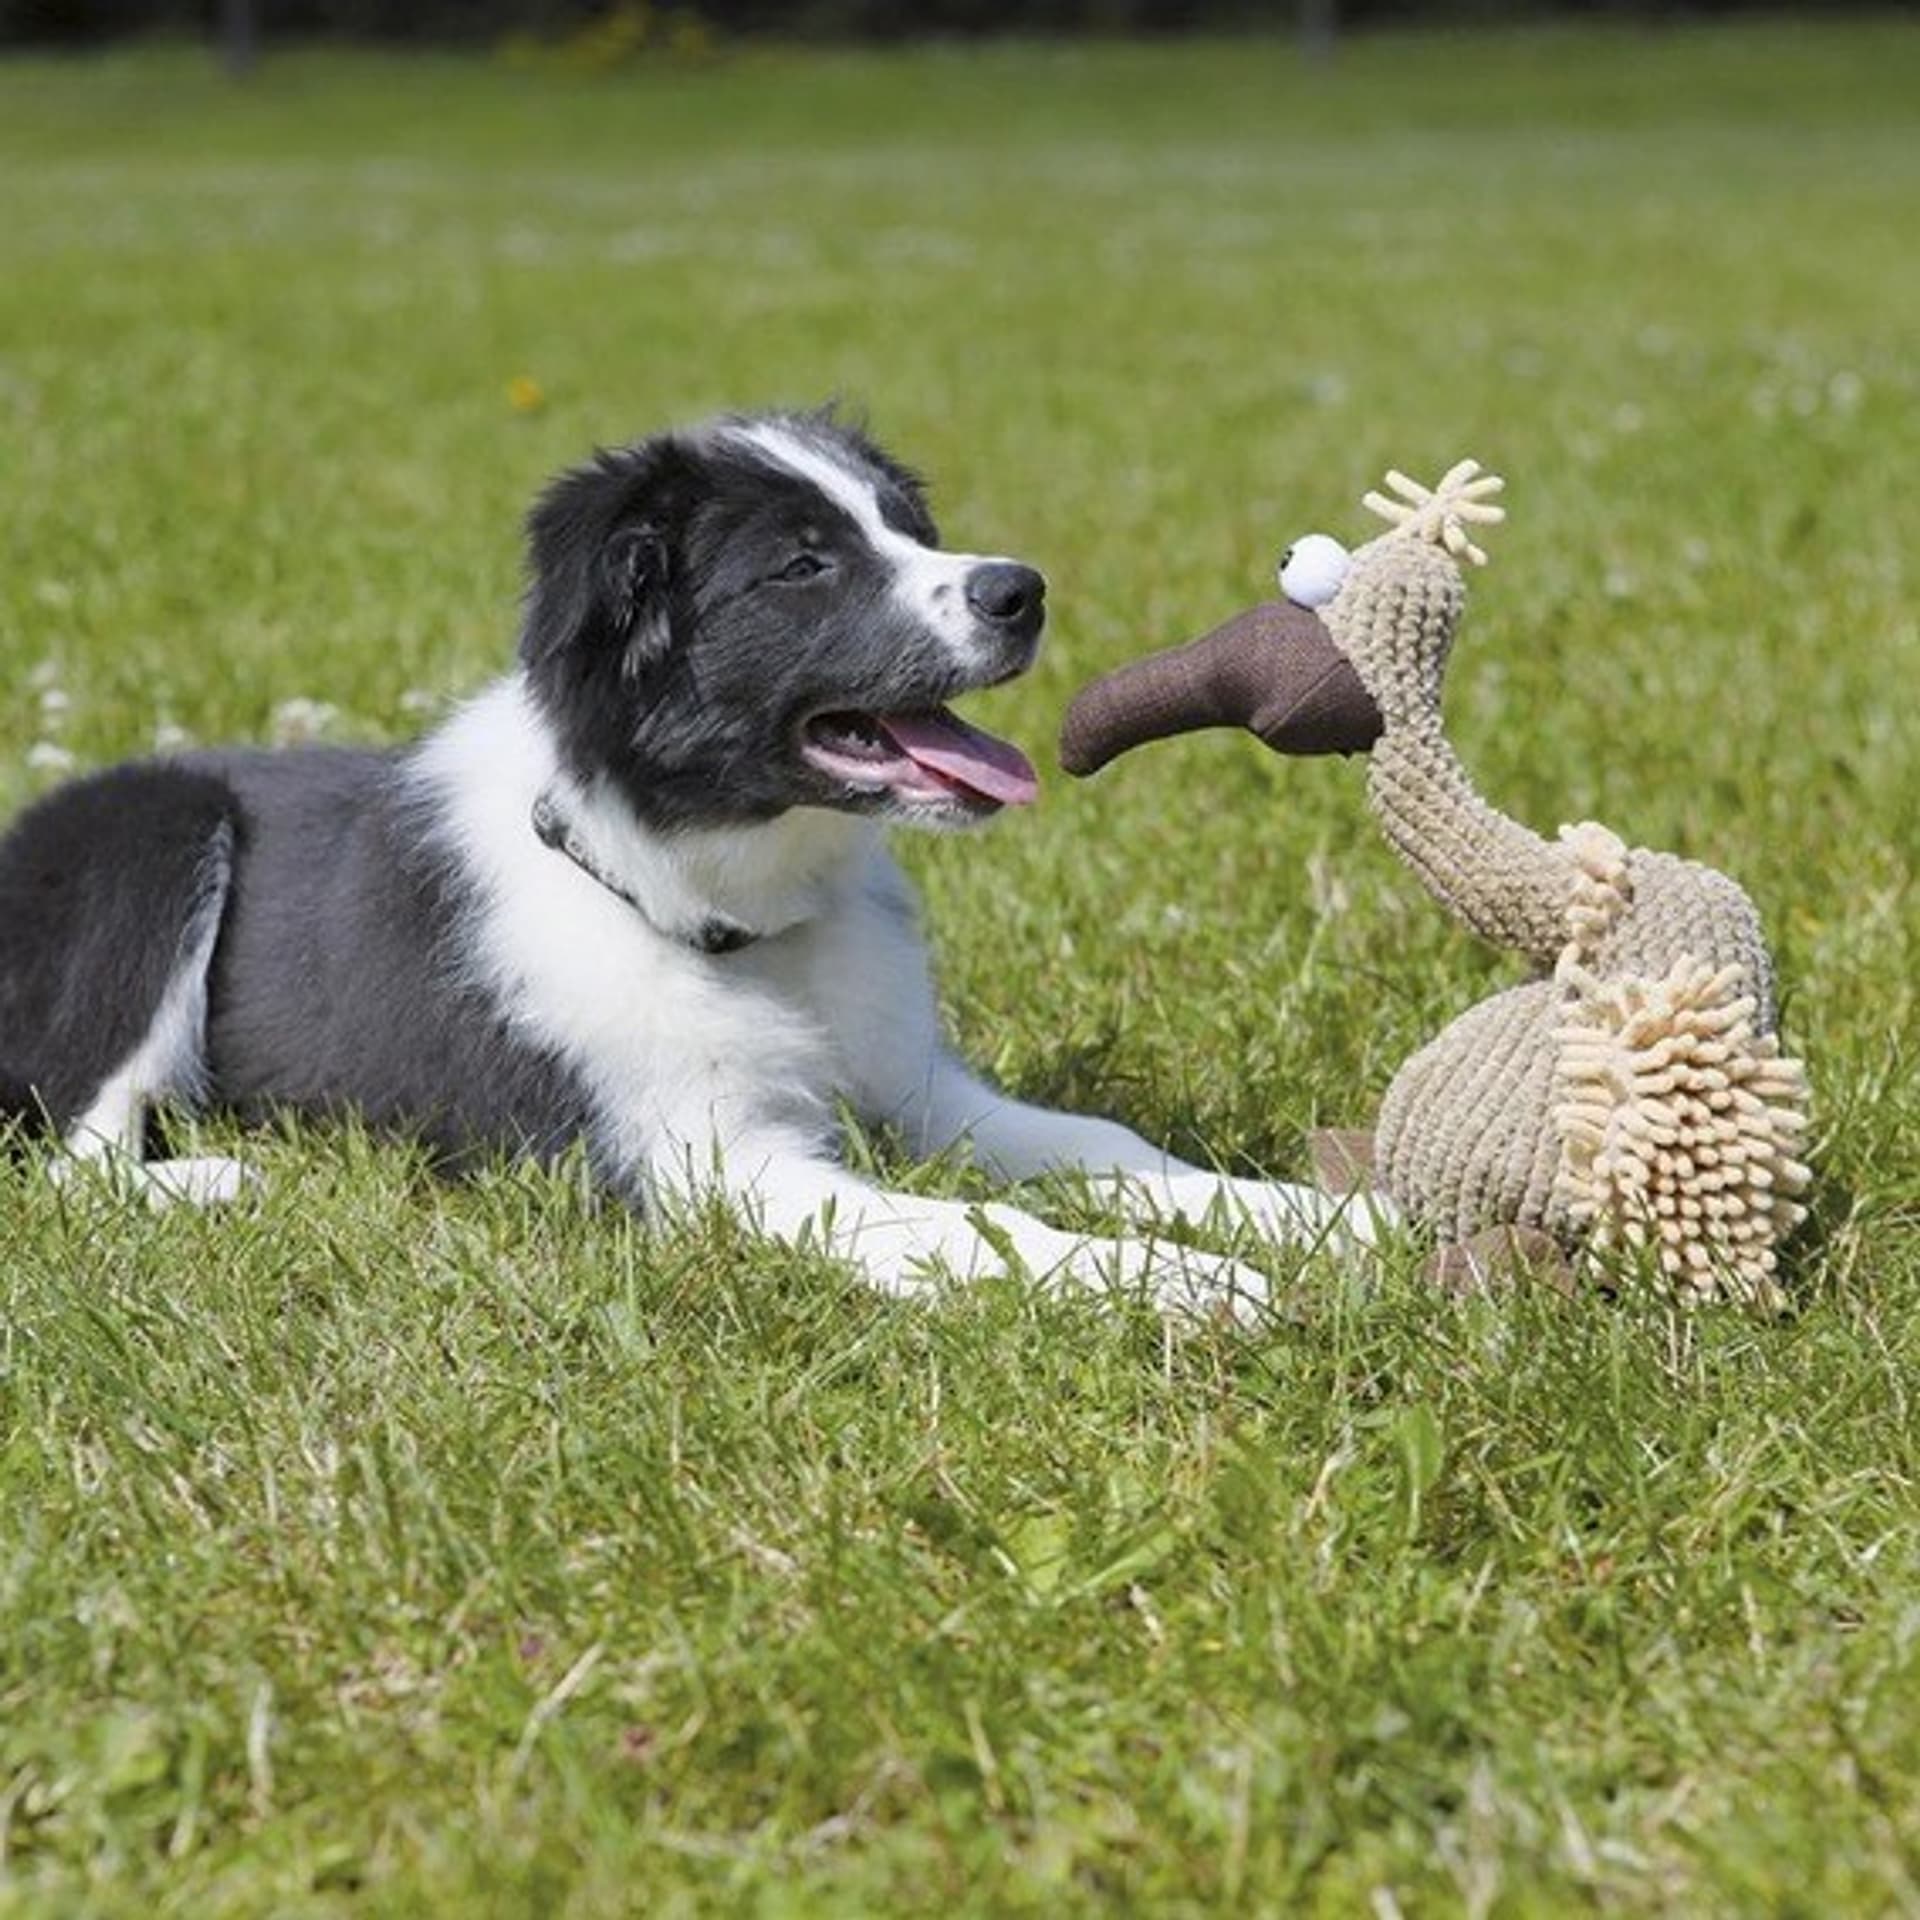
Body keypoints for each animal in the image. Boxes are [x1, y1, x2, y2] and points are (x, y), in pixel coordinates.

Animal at [0, 410, 1367, 1313]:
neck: (721, 905)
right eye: (805, 564)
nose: (1021, 589)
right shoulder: (708, 1164)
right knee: (72, 1160)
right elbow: (979, 1224)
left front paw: (1319, 1214)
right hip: (153, 828)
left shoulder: (919, 1090)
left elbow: (1105, 1144)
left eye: (906, 527)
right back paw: (225, 1181)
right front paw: (1182, 1283)